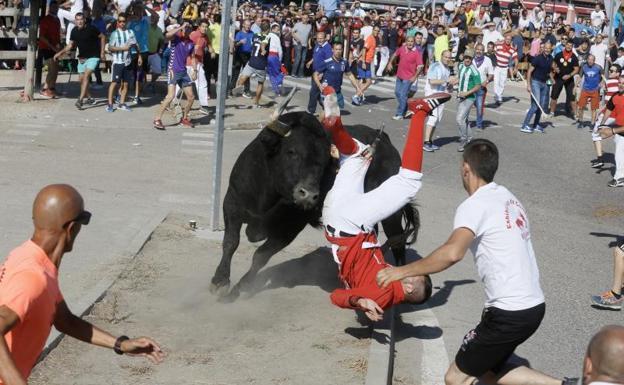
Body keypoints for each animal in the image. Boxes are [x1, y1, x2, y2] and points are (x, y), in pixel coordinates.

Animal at [210, 111, 420, 300]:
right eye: (291, 151)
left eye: (324, 160)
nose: (309, 195)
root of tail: (386, 142)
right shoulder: (232, 203)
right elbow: (230, 242)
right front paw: (220, 281)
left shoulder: (290, 228)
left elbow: (261, 255)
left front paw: (240, 289)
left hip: (391, 214)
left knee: (397, 242)